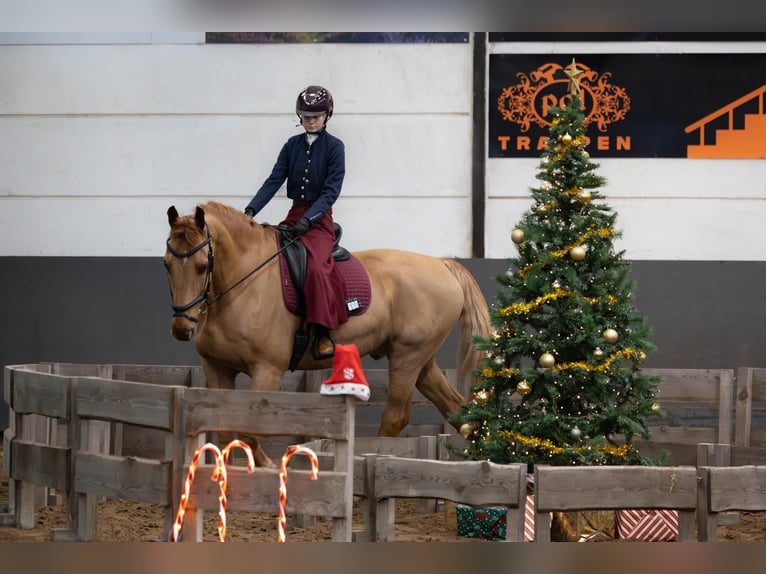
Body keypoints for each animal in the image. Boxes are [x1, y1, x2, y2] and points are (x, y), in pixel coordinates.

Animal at [163, 201, 492, 466]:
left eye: (202, 266)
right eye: (166, 265)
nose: (182, 328)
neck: (243, 285)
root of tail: (443, 265)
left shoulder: (267, 370)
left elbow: (250, 431)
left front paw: (268, 467)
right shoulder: (217, 368)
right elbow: (223, 435)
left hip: (408, 357)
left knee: (396, 417)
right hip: (421, 360)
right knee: (459, 411)